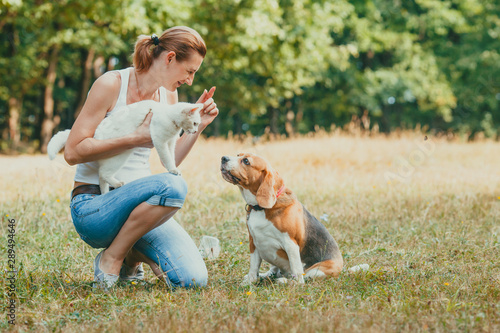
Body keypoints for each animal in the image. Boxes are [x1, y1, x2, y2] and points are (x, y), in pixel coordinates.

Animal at [47, 100, 203, 193]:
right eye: (195, 123)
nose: (196, 131)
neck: (170, 117)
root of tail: (95, 135)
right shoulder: (160, 141)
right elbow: (167, 158)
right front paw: (173, 170)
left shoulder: (170, 143)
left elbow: (171, 157)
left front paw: (174, 168)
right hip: (122, 154)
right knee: (103, 173)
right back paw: (117, 184)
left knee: (101, 177)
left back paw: (106, 193)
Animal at [221, 152, 342, 282]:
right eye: (238, 154)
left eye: (246, 161)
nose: (223, 158)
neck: (260, 208)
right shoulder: (253, 241)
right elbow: (253, 267)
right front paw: (250, 281)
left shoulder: (291, 244)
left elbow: (297, 272)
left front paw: (295, 284)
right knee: (274, 271)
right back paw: (265, 275)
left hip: (316, 271)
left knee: (302, 276)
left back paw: (284, 281)